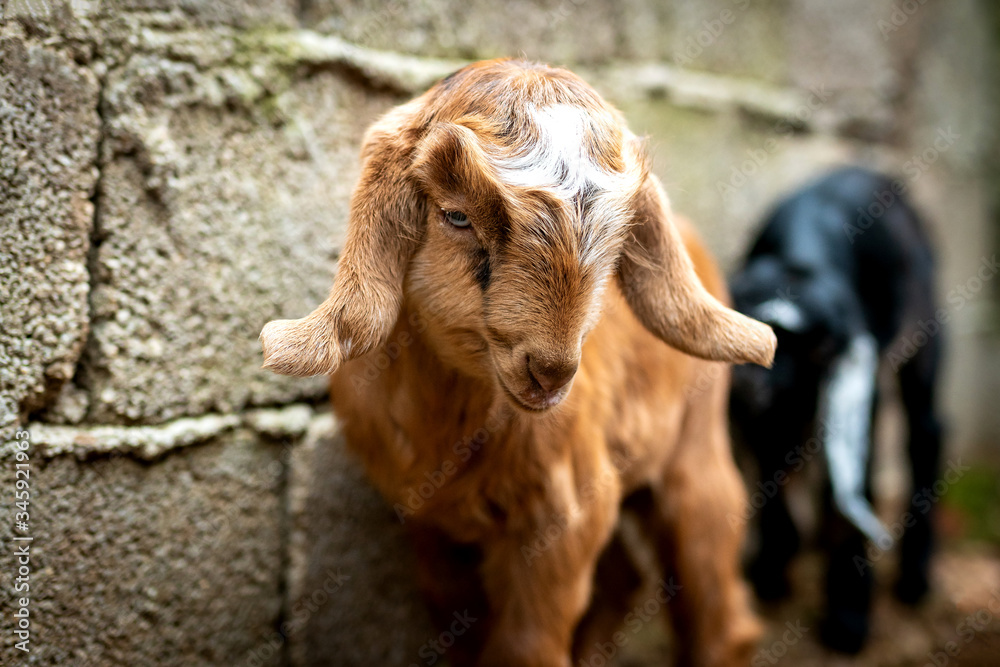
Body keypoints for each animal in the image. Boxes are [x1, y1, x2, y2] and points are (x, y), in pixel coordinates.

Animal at [261, 59, 776, 667]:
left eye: (617, 243)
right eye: (455, 215)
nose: (550, 372)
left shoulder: (565, 517)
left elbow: (527, 642)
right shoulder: (428, 525)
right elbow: (459, 623)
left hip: (695, 451)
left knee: (714, 589)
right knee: (625, 580)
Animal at [729, 167, 944, 654]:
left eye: (818, 349)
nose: (749, 383)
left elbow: (847, 488)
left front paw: (848, 621)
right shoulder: (772, 414)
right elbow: (773, 471)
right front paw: (771, 570)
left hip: (925, 333)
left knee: (926, 433)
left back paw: (915, 580)